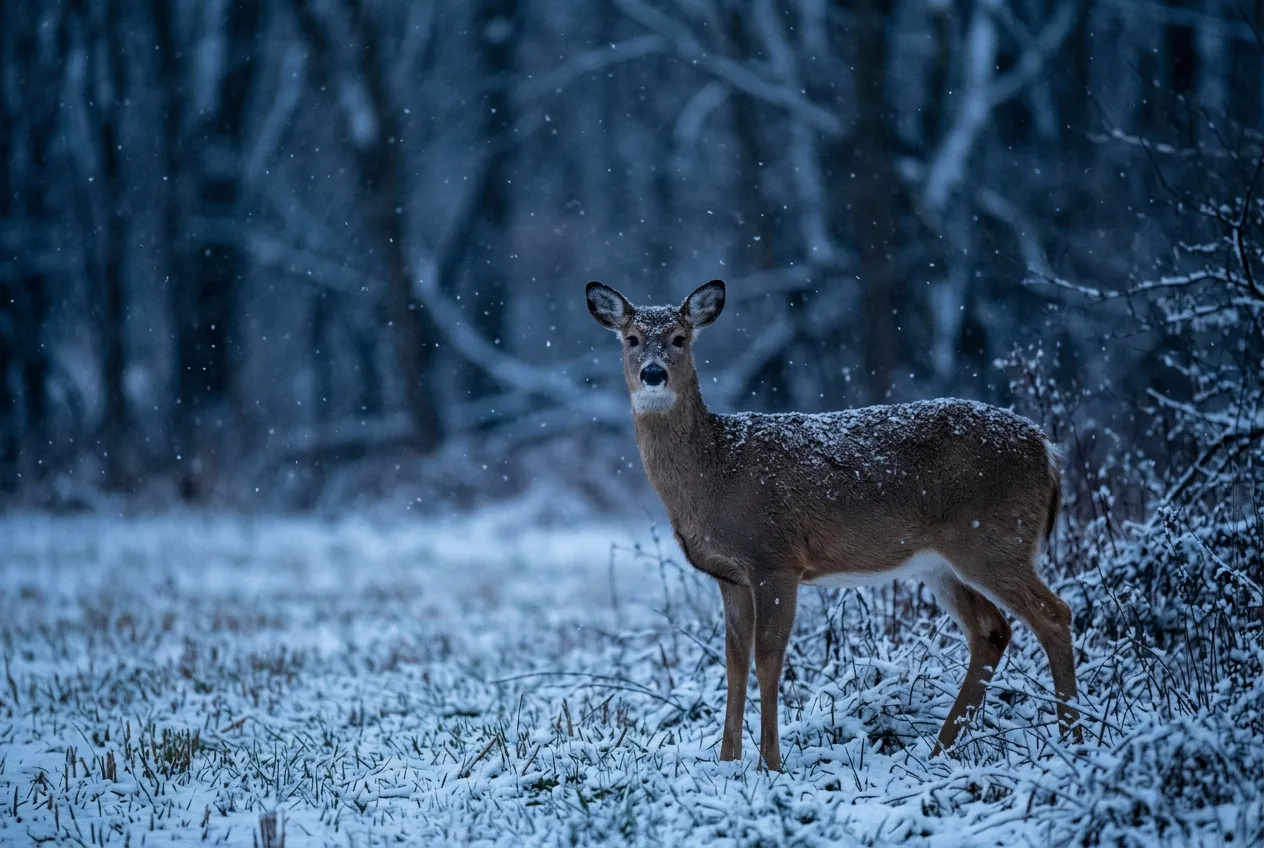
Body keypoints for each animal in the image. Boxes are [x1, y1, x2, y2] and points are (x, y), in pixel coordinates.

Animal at [585, 279, 1082, 771]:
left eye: (679, 339)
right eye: (631, 339)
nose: (653, 374)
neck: (716, 472)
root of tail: (1048, 450)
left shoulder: (775, 558)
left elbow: (768, 658)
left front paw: (770, 764)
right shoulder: (730, 576)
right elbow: (734, 661)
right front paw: (727, 761)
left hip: (993, 538)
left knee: (1054, 614)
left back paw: (1072, 738)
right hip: (941, 563)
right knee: (991, 631)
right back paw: (942, 750)